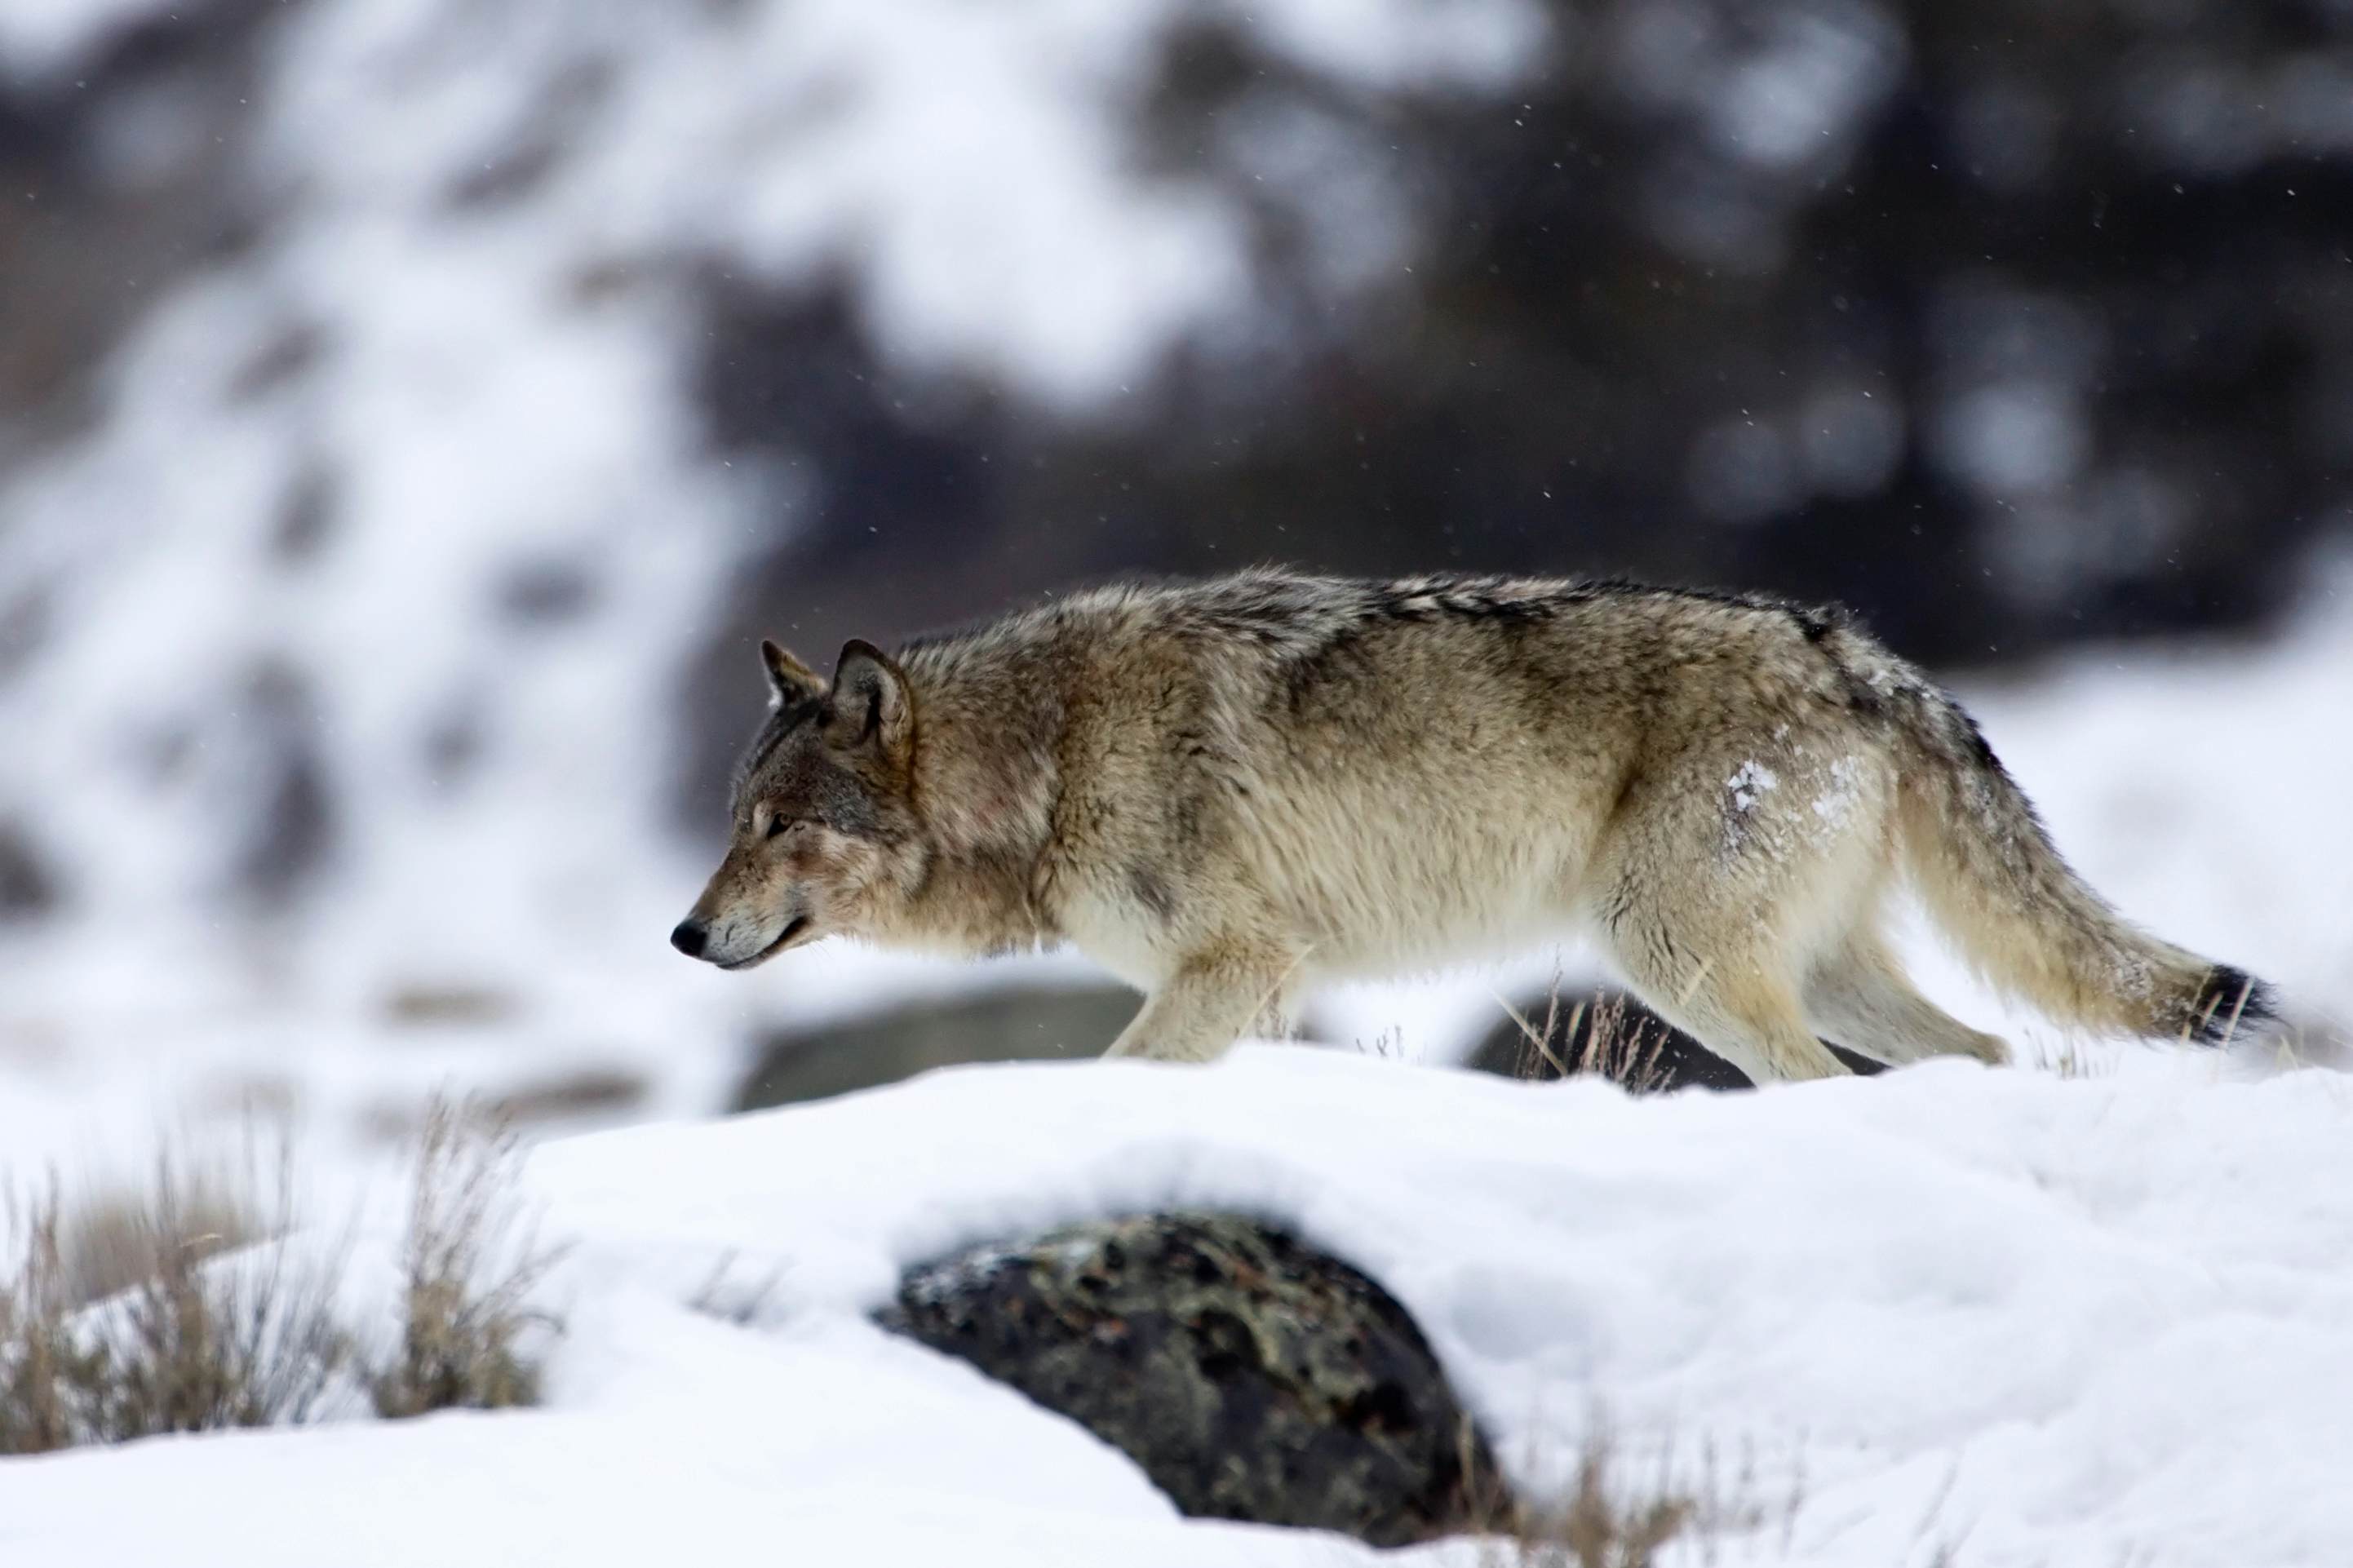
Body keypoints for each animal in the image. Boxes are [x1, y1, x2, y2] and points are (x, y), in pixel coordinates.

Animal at [668, 567, 2277, 1083]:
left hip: (1672, 956)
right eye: (732, 818)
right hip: (1808, 968)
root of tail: (1859, 653)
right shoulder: (1266, 992)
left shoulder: (1233, 967)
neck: (1050, 755)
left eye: (775, 823)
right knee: (1992, 1052)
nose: (684, 934)